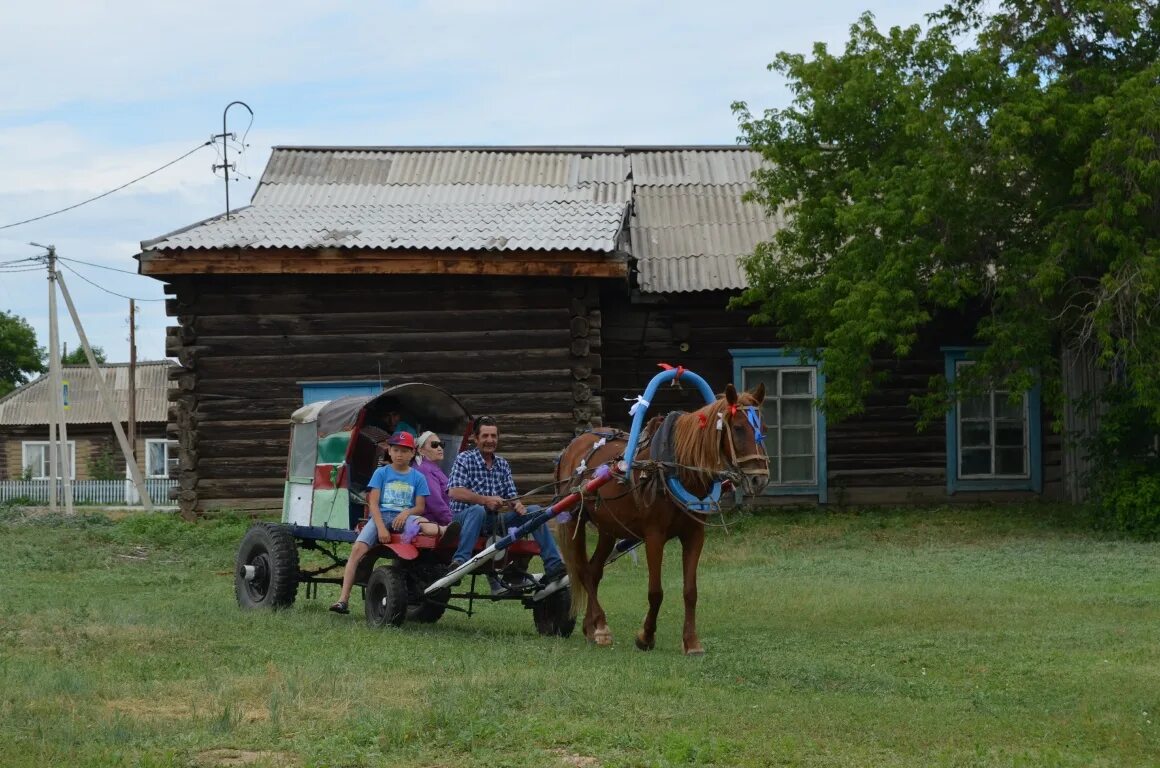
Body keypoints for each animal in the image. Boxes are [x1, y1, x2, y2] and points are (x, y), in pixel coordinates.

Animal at [554, 382, 770, 654]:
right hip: (575, 518)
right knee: (583, 570)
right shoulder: (654, 537)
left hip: (608, 527)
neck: (672, 468)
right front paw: (645, 637)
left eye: (763, 429)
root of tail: (573, 446)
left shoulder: (694, 535)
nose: (759, 478)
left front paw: (691, 642)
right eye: (739, 428)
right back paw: (601, 627)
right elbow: (655, 591)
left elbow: (690, 591)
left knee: (593, 571)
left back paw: (592, 627)